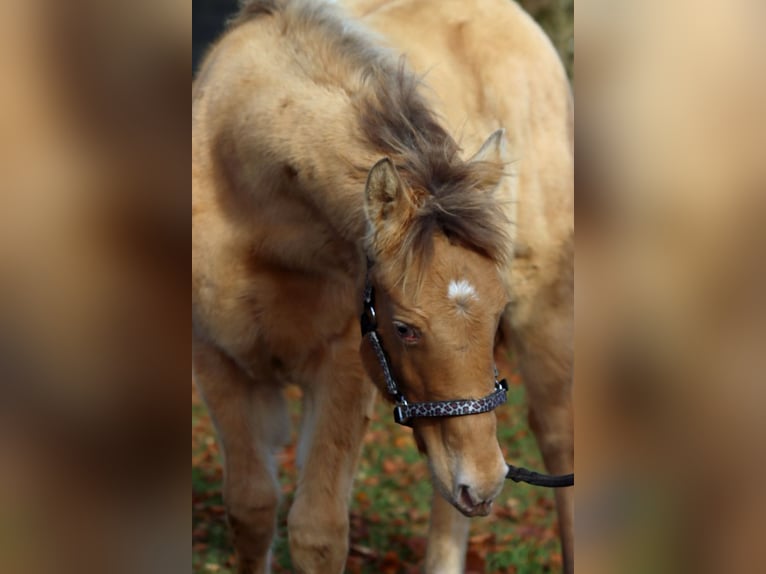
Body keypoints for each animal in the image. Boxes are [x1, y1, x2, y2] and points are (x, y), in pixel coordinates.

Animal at [192, 0, 573, 572]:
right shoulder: (220, 363)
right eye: (404, 328)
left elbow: (317, 531)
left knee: (558, 438)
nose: (485, 484)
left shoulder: (343, 369)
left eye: (497, 313)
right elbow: (251, 508)